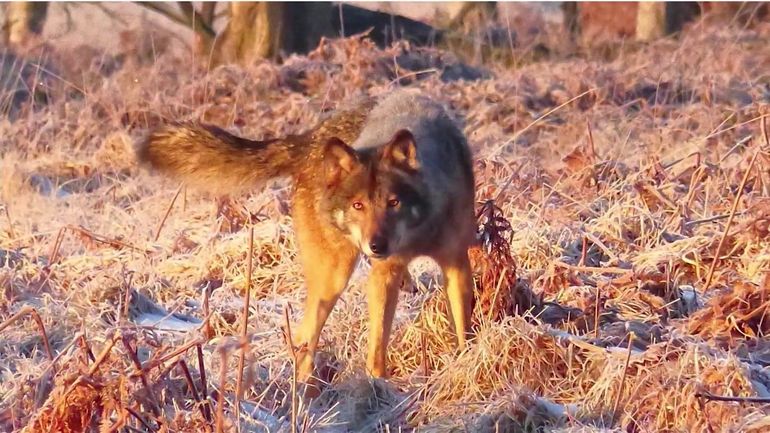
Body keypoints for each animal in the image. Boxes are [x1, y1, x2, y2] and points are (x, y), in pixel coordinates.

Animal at [137, 89, 476, 395]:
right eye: (358, 205)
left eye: (393, 202)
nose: (376, 246)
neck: (420, 230)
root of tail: (313, 138)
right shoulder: (384, 274)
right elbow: (378, 343)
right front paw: (378, 386)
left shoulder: (456, 263)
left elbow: (463, 326)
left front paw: (463, 363)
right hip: (333, 277)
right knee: (304, 336)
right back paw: (306, 392)